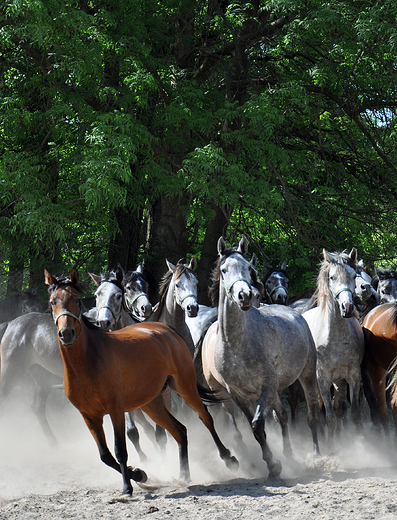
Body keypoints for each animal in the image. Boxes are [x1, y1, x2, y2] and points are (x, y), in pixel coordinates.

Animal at [44, 268, 235, 496]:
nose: (66, 333)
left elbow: (120, 450)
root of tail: (165, 329)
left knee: (204, 417)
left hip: (184, 387)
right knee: (179, 430)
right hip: (152, 404)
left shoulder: (116, 410)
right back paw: (184, 475)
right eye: (52, 301)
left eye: (77, 300)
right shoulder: (89, 417)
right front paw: (139, 474)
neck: (87, 362)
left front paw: (127, 486)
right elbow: (105, 455)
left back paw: (228, 458)